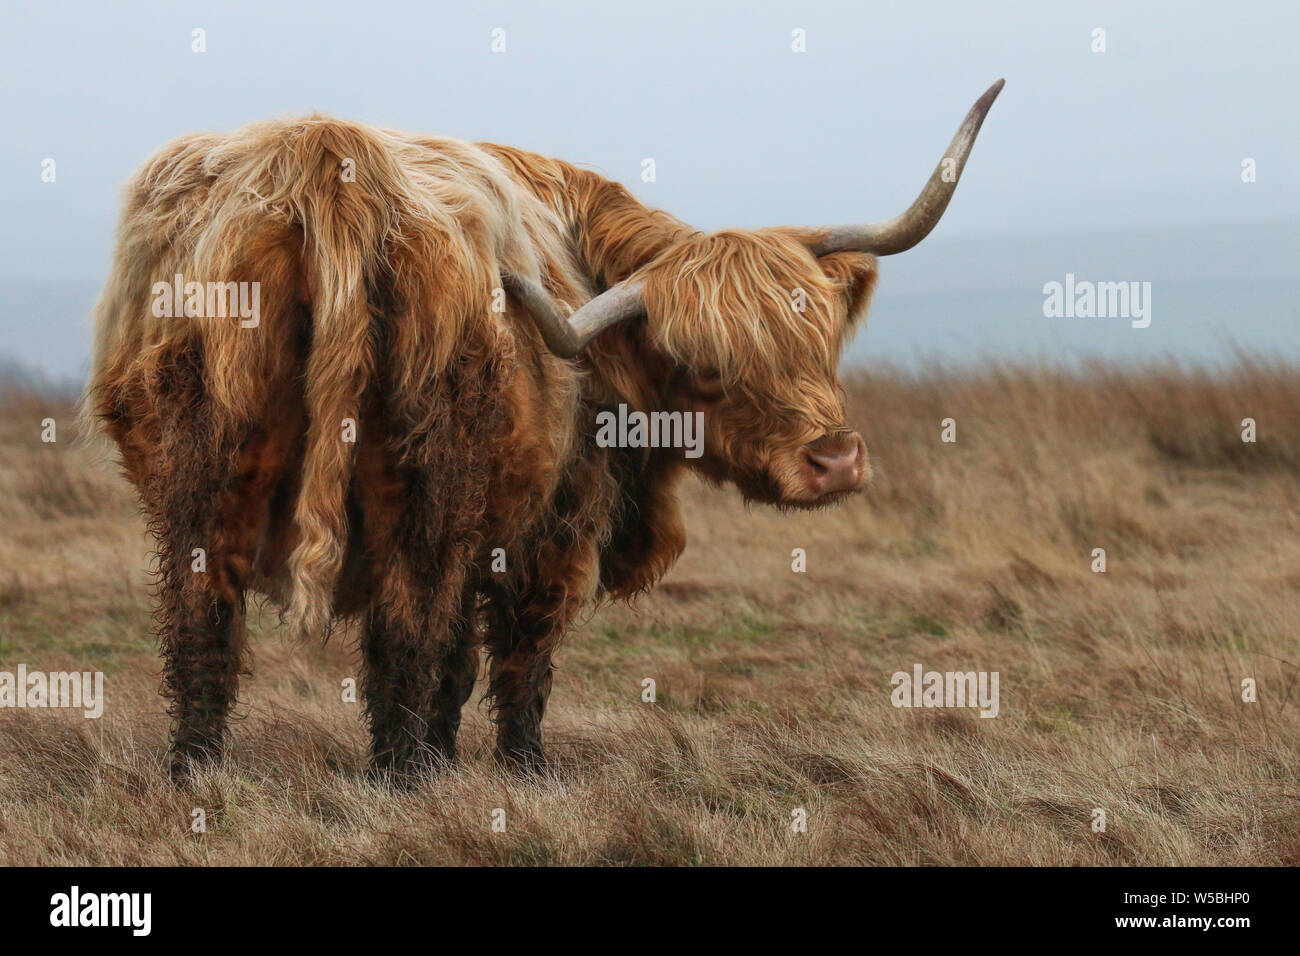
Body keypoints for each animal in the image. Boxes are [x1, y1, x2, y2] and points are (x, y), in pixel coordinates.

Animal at [86, 78, 1003, 780]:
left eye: (818, 338)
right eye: (703, 365)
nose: (836, 460)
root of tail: (327, 165)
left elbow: (457, 661)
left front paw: (449, 759)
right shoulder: (553, 526)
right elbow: (518, 655)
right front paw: (519, 769)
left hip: (204, 482)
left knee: (203, 626)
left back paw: (198, 775)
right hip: (420, 488)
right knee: (403, 629)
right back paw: (397, 782)